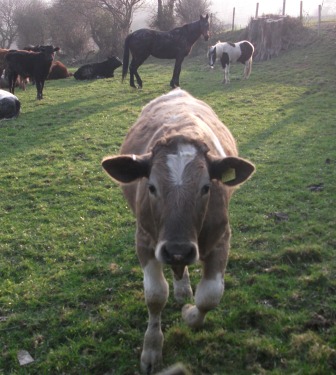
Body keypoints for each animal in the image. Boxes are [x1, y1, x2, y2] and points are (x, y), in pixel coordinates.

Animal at [102, 89, 255, 374]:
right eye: (151, 186)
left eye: (206, 187)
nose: (178, 249)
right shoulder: (145, 240)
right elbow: (155, 295)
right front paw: (151, 348)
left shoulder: (221, 238)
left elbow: (210, 296)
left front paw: (189, 313)